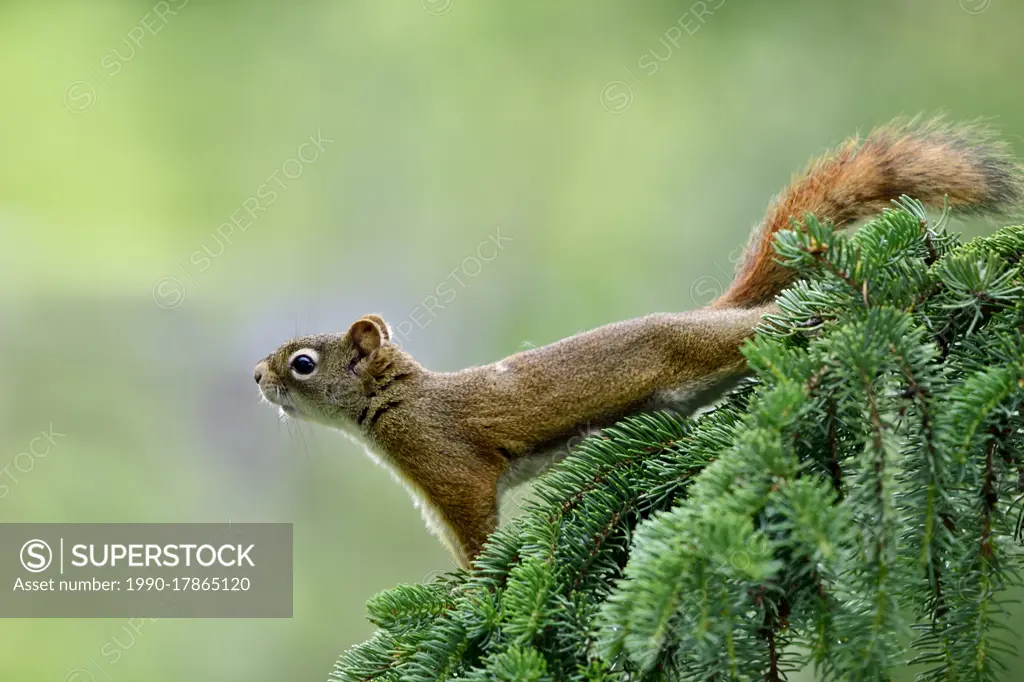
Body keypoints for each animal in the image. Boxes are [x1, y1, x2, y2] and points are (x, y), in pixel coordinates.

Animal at [251, 119, 1019, 565]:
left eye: (303, 364)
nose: (256, 378)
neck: (396, 401)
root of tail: (704, 315)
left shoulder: (448, 465)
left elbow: (478, 533)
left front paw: (470, 587)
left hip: (712, 345)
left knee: (767, 324)